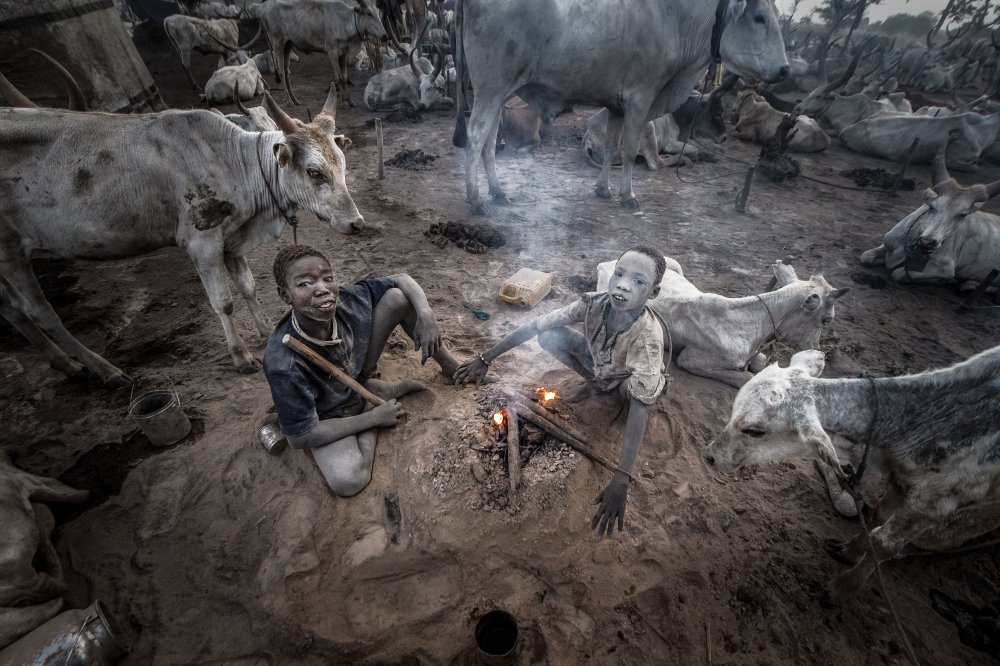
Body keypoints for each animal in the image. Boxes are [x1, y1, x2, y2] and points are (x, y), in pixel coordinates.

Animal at [0, 85, 366, 384]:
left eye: (343, 164)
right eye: (314, 172)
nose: (356, 223)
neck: (231, 160)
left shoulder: (232, 242)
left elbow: (248, 286)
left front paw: (264, 330)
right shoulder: (203, 244)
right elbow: (224, 302)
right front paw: (241, 356)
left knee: (13, 309)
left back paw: (64, 363)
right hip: (11, 253)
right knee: (40, 312)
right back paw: (104, 370)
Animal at [596, 255, 848, 390]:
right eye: (826, 320)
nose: (816, 349)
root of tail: (607, 263)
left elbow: (760, 363)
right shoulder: (692, 360)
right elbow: (747, 377)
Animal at [704, 344, 1000, 604]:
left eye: (754, 431)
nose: (710, 456)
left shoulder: (936, 499)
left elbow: (883, 542)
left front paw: (840, 589)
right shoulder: (901, 480)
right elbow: (878, 515)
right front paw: (850, 551)